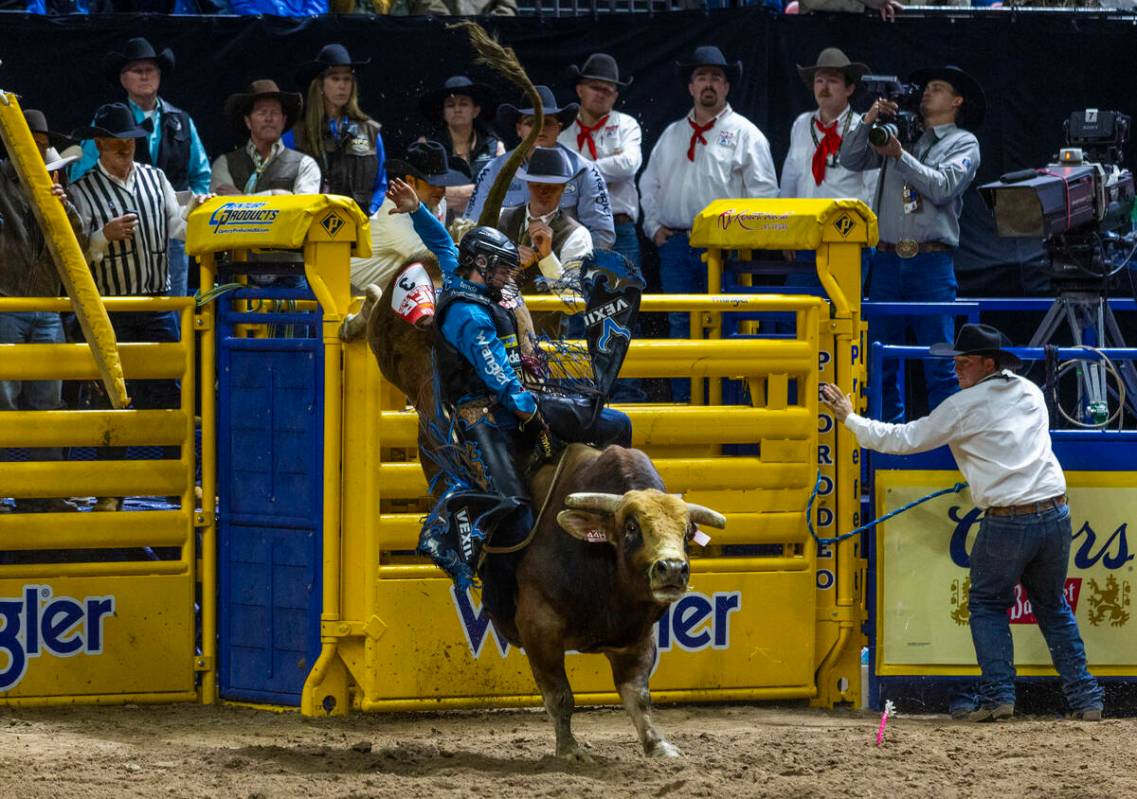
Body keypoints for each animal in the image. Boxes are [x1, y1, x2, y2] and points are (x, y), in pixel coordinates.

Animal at [484, 443, 723, 763]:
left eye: (687, 532)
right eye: (632, 527)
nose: (673, 568)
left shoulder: (637, 636)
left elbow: (638, 696)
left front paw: (658, 745)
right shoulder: (540, 628)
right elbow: (559, 695)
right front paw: (570, 749)